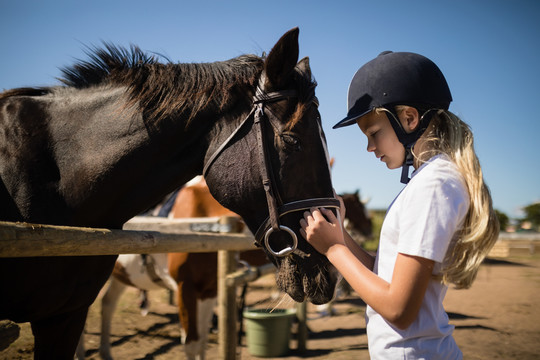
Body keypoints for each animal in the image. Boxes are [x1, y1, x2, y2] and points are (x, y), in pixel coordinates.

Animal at [0, 28, 338, 360]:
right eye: (292, 140)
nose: (329, 272)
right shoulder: (184, 290)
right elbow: (191, 343)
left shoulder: (69, 313)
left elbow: (200, 344)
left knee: (108, 305)